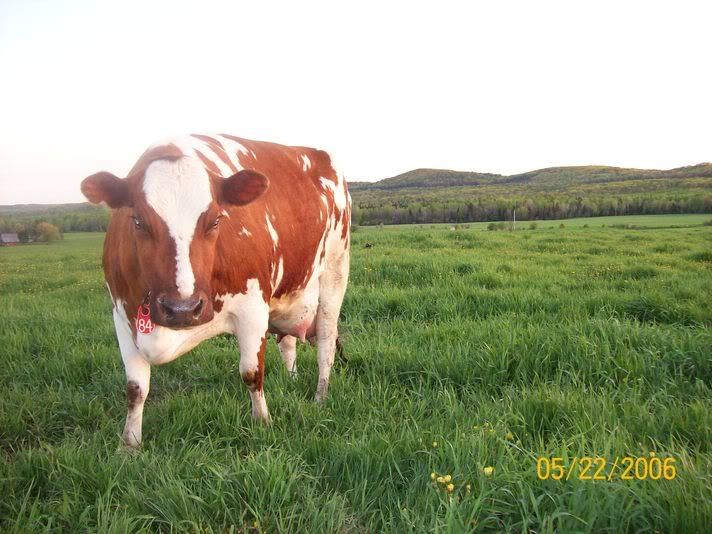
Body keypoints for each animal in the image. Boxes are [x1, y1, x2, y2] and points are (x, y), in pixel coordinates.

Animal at [81, 134, 351, 448]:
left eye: (216, 220)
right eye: (137, 221)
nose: (182, 309)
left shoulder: (252, 308)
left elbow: (251, 372)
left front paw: (263, 423)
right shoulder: (122, 316)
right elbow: (135, 388)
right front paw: (130, 443)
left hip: (335, 273)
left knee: (326, 344)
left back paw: (320, 397)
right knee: (287, 343)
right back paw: (291, 379)